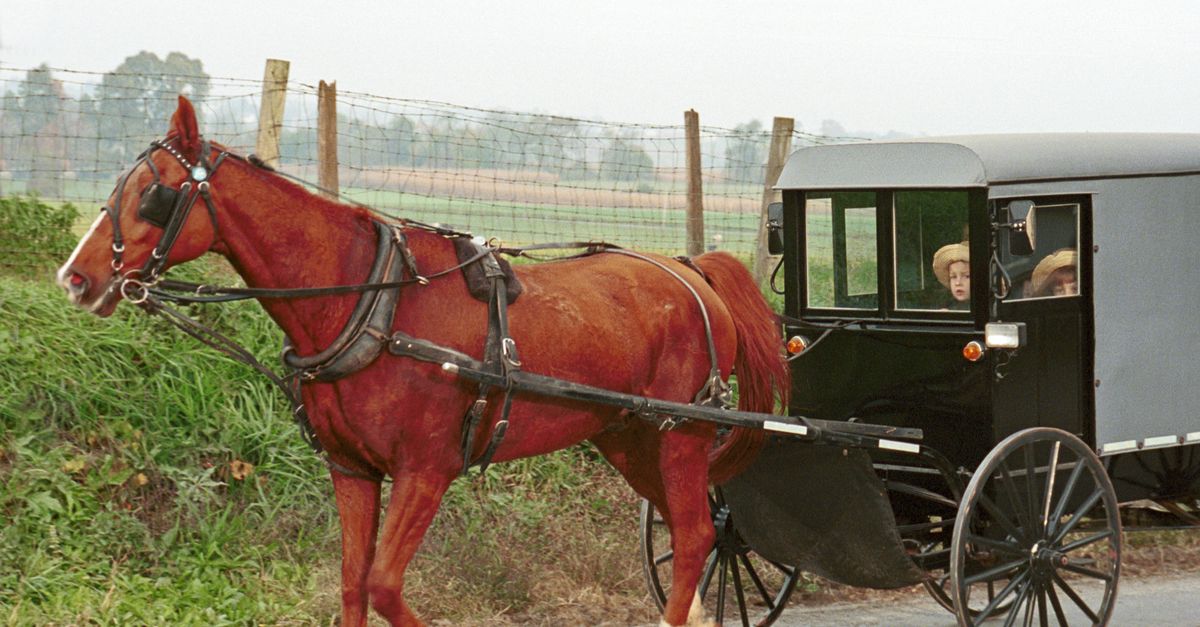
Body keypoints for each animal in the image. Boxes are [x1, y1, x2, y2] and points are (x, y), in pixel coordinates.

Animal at [57, 96, 788, 627]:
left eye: (153, 194)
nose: (75, 278)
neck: (371, 302)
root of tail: (690, 268)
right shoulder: (353, 470)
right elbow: (353, 585)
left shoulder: (425, 470)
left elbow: (384, 585)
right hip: (630, 437)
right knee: (691, 535)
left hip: (682, 435)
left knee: (694, 536)